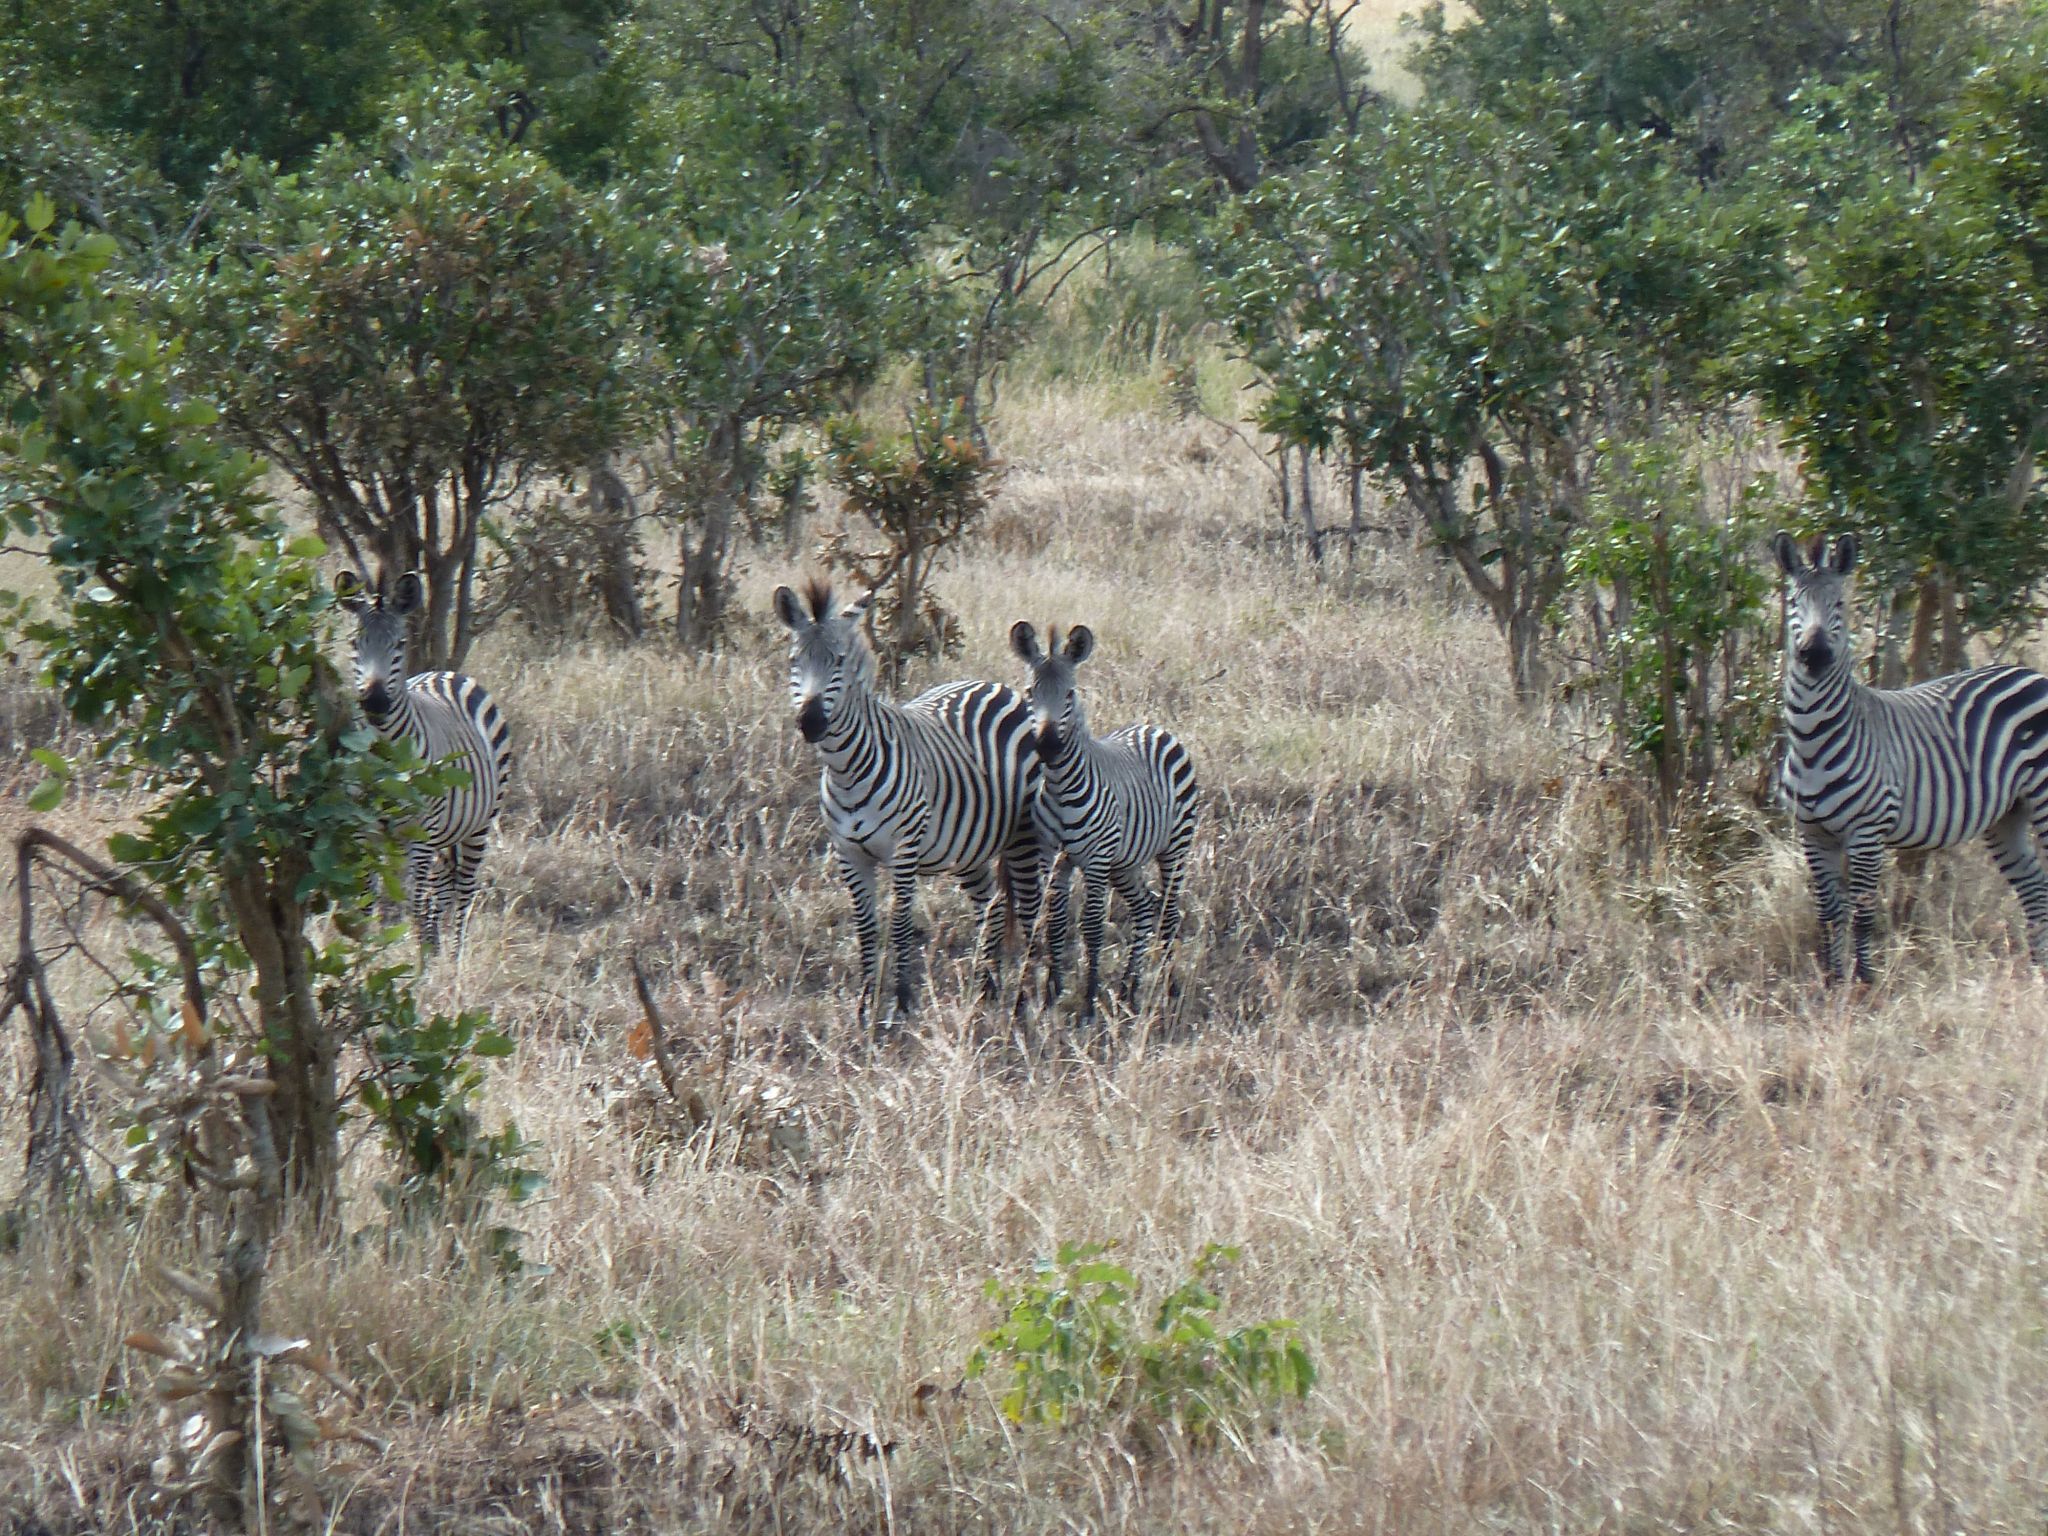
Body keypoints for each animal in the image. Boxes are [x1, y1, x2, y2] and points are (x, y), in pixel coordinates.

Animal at [334, 570, 513, 955]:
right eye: (355, 643)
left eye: (400, 643)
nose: (374, 702)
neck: (386, 754)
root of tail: (446, 673)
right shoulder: (365, 833)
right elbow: (366, 908)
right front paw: (366, 957)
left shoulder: (421, 834)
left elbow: (414, 910)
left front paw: (417, 964)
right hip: (446, 832)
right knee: (441, 885)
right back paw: (436, 951)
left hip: (478, 823)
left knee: (462, 892)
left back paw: (455, 959)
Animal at [774, 579, 1043, 1033]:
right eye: (794, 660)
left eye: (839, 662)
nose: (810, 723)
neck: (847, 770)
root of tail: (994, 687)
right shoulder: (848, 854)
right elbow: (866, 928)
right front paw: (865, 1007)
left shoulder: (903, 851)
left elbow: (900, 925)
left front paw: (901, 1003)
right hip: (969, 845)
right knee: (989, 904)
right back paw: (986, 989)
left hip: (1023, 837)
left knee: (1031, 908)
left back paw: (1028, 999)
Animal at [1010, 621, 1199, 1027]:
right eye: (1031, 692)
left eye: (1069, 694)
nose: (1047, 748)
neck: (1061, 786)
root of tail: (1154, 728)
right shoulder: (1051, 858)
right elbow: (1053, 923)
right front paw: (1048, 996)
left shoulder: (1094, 861)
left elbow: (1092, 927)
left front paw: (1088, 1003)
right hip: (1124, 863)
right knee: (1145, 908)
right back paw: (1129, 990)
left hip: (1174, 848)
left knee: (1169, 912)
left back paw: (1170, 991)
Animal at [1775, 530, 2048, 983]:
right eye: (1794, 604)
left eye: (1840, 604)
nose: (1814, 655)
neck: (1813, 740)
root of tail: (2031, 672)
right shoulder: (1813, 835)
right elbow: (1828, 914)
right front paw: (1832, 983)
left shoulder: (1867, 832)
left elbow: (1863, 913)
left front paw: (1865, 984)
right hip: (2007, 814)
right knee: (2034, 886)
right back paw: (2038, 969)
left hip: (2042, 797)